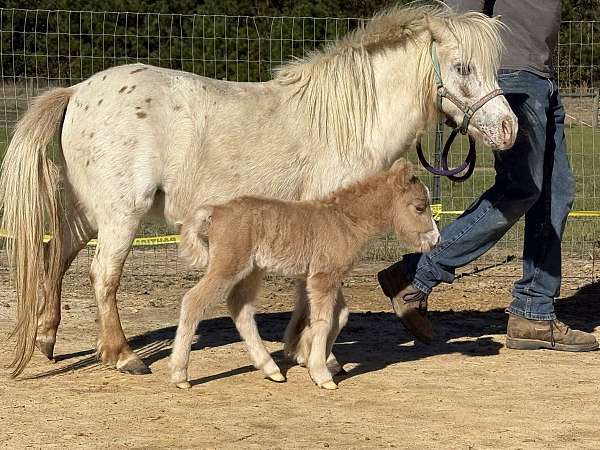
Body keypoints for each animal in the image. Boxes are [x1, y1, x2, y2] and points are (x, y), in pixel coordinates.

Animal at [171, 160, 438, 388]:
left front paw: (308, 356)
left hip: (252, 270)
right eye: (419, 207)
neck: (344, 221)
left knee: (240, 307)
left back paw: (271, 369)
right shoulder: (323, 276)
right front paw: (321, 373)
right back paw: (180, 375)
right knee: (193, 301)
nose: (435, 240)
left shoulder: (328, 277)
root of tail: (216, 211)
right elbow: (324, 320)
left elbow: (340, 315)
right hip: (228, 265)